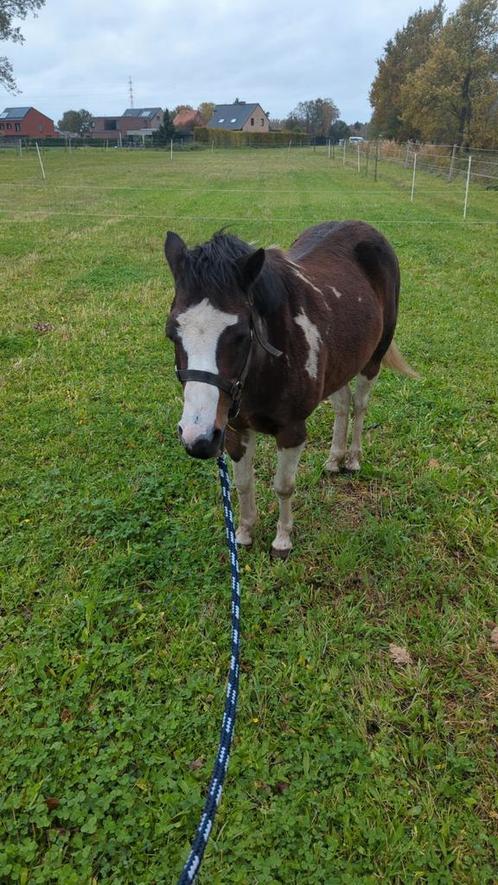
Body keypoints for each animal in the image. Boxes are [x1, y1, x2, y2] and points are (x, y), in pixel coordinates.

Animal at [164, 221, 416, 556]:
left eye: (241, 334)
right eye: (171, 333)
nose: (198, 439)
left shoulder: (292, 432)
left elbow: (283, 486)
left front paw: (282, 540)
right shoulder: (235, 431)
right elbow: (243, 484)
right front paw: (243, 533)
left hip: (372, 360)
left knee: (360, 406)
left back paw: (352, 459)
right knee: (342, 405)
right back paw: (334, 460)